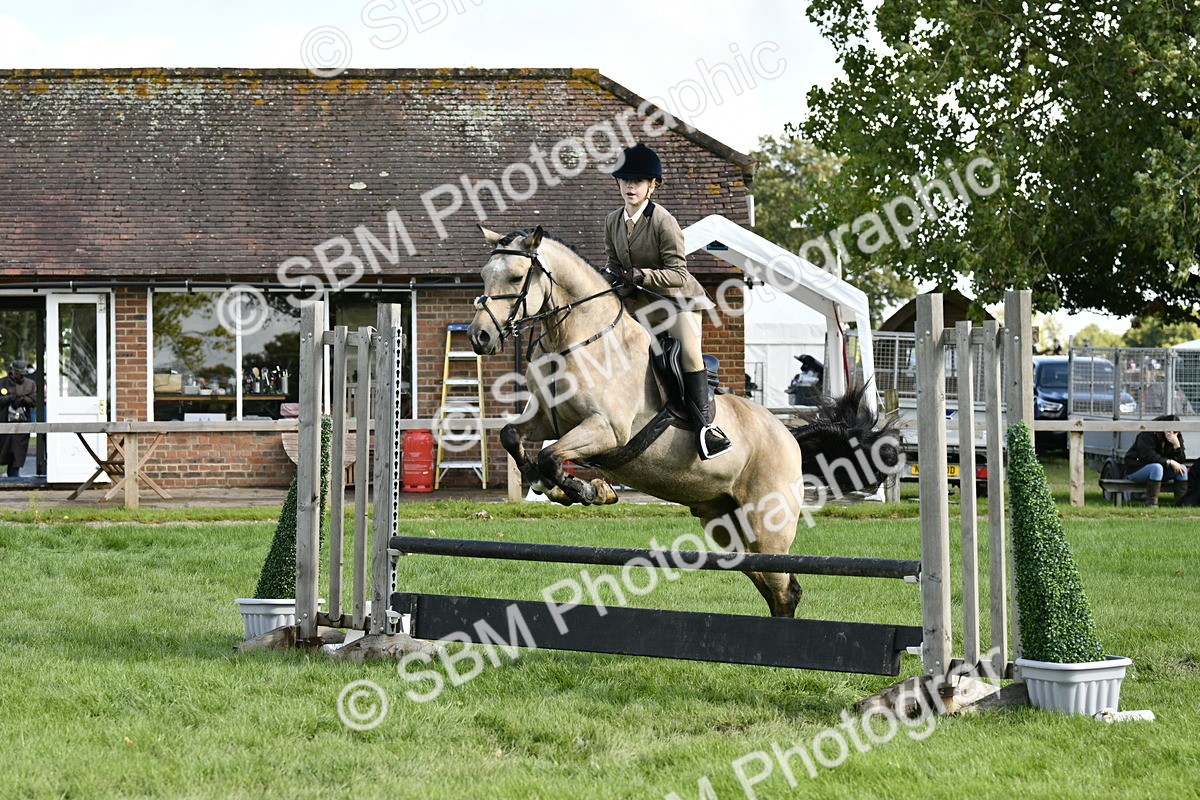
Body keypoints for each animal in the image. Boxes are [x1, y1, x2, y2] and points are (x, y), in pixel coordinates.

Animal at [467, 225, 899, 617]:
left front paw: (590, 491)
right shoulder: (547, 419)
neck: (578, 339)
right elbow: (513, 436)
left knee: (785, 587)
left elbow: (551, 456)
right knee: (774, 588)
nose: (479, 337)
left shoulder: (606, 429)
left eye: (516, 278)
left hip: (768, 527)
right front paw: (551, 486)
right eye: (484, 276)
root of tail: (791, 438)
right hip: (727, 526)